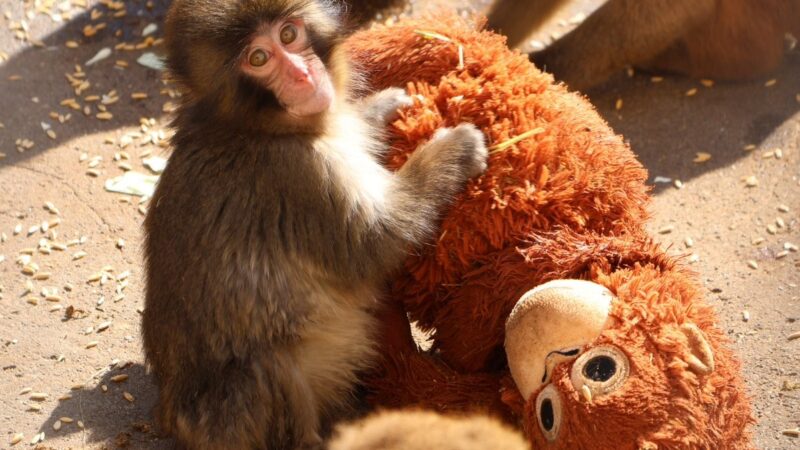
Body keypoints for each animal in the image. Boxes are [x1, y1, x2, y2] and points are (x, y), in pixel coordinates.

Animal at [141, 0, 488, 449]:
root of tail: (168, 415)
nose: (303, 75)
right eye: (258, 59)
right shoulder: (299, 174)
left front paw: (379, 107)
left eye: (289, 35)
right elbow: (376, 242)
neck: (253, 127)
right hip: (230, 420)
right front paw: (454, 150)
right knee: (267, 366)